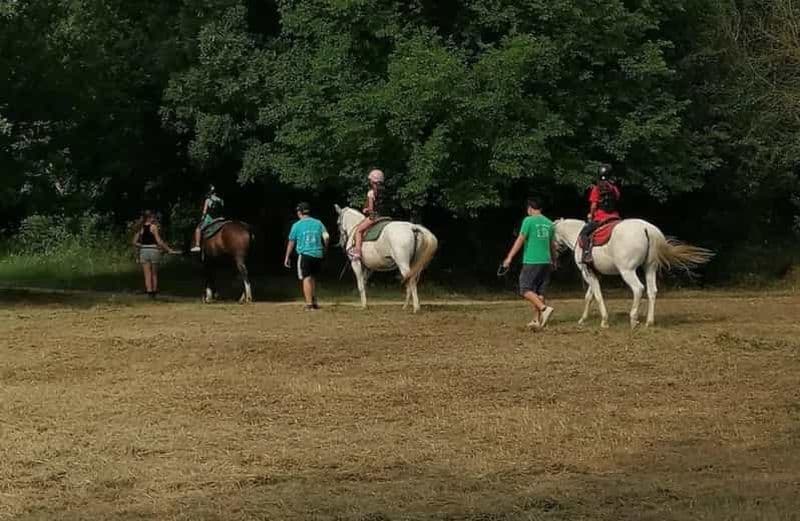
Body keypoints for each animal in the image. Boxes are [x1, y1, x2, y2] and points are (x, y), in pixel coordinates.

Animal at [553, 218, 713, 329]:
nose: (555, 256)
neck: (577, 235)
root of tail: (647, 228)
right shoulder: (595, 275)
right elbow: (589, 297)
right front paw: (583, 319)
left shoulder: (588, 274)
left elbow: (597, 296)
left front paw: (604, 321)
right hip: (650, 268)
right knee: (652, 291)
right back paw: (649, 322)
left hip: (627, 271)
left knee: (638, 289)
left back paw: (633, 319)